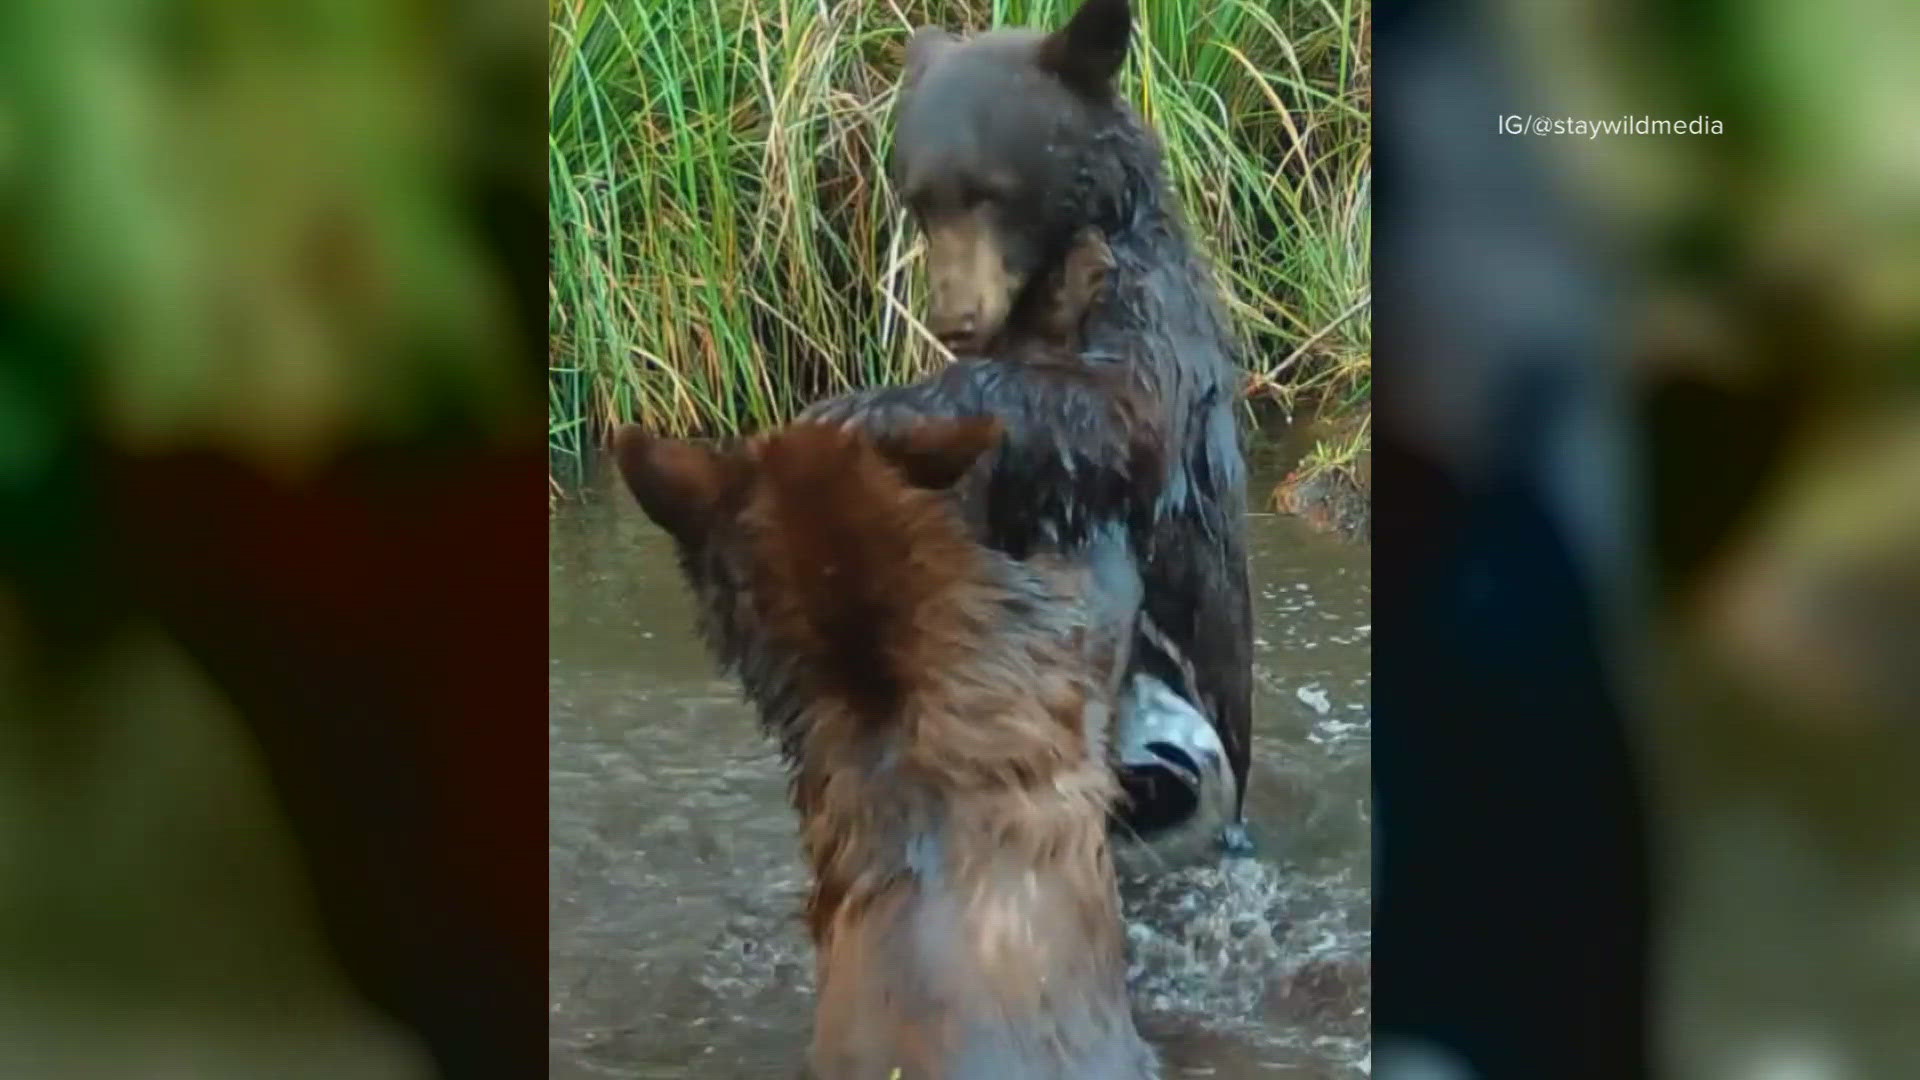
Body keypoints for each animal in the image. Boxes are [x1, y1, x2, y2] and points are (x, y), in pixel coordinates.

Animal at [798, 0, 1259, 864]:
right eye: (919, 199)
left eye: (990, 191)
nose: (955, 314)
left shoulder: (1149, 307)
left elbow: (1120, 410)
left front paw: (867, 408)